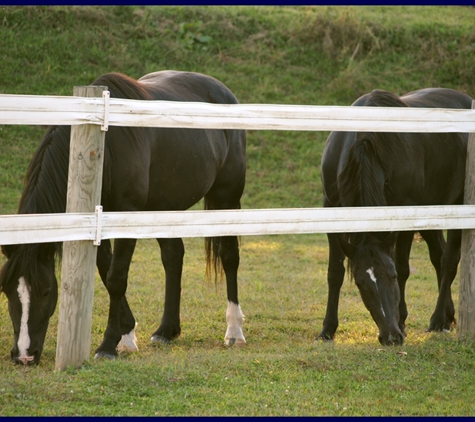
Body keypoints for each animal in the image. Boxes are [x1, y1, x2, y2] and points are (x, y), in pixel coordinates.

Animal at [0, 71, 245, 364]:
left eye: (46, 290)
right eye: (7, 290)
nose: (24, 355)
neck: (105, 148)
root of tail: (223, 91)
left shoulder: (126, 215)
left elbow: (116, 277)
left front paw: (107, 345)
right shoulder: (96, 223)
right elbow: (106, 273)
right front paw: (126, 334)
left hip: (227, 197)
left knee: (229, 257)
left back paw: (234, 330)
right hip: (162, 206)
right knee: (173, 255)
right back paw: (167, 330)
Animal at [320, 87, 472, 344]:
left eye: (390, 277)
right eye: (360, 283)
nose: (390, 336)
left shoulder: (405, 214)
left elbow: (403, 268)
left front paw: (402, 321)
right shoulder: (331, 208)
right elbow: (335, 272)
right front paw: (328, 329)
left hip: (457, 205)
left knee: (449, 260)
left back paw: (437, 319)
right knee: (439, 256)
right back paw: (447, 317)